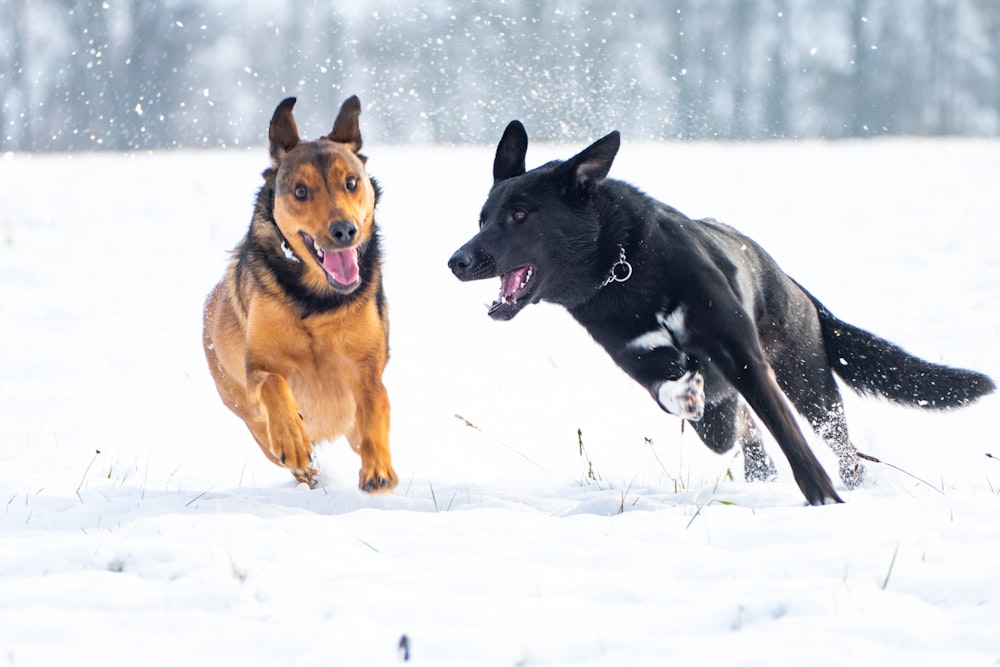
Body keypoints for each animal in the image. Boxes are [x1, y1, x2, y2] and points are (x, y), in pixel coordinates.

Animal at [204, 95, 398, 490]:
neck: (317, 299)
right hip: (249, 417)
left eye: (351, 182)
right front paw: (293, 439)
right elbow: (272, 383)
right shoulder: (256, 366)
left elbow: (373, 406)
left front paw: (378, 469)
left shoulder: (367, 367)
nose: (344, 230)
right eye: (300, 191)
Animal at [450, 121, 996, 506]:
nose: (456, 261)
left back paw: (849, 483)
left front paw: (822, 498)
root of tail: (789, 280)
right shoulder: (640, 360)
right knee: (737, 429)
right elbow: (674, 392)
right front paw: (686, 391)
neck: (623, 267)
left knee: (838, 444)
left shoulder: (743, 356)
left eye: (520, 215)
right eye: (482, 218)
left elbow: (786, 433)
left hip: (809, 381)